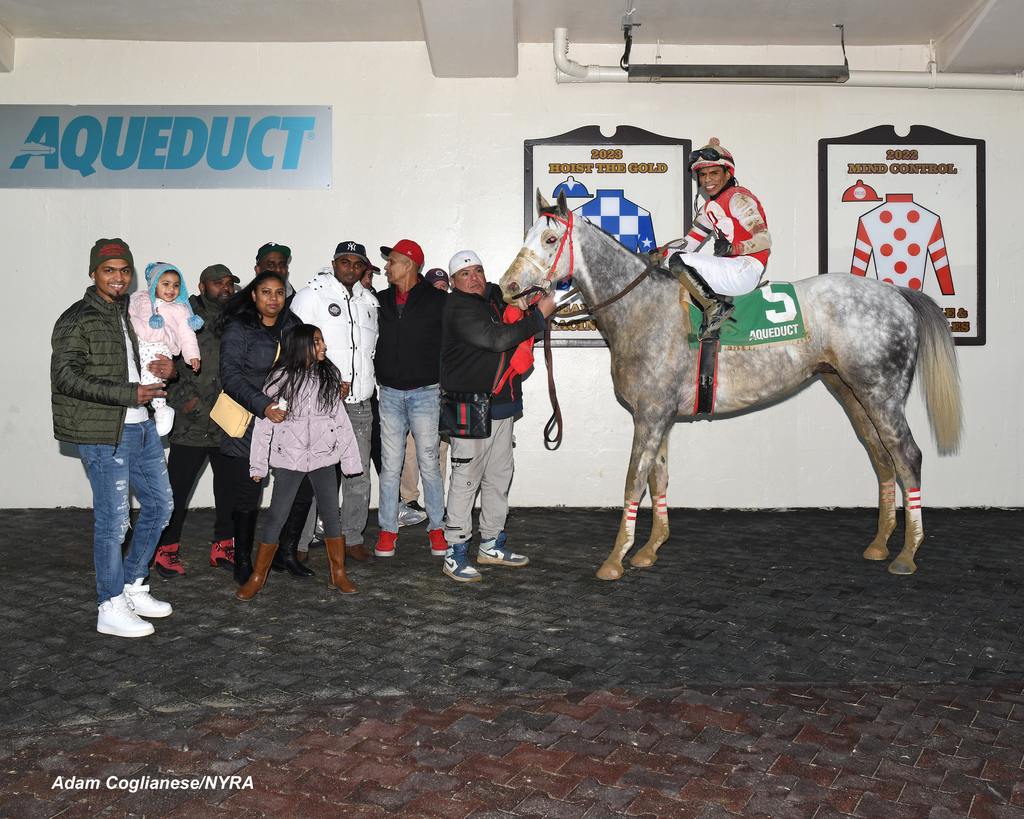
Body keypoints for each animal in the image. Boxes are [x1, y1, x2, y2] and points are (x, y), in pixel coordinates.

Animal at [499, 192, 962, 577]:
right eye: (527, 235)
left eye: (550, 238)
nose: (508, 287)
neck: (641, 307)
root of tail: (897, 293)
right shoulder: (660, 415)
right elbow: (658, 479)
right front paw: (650, 550)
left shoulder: (650, 414)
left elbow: (634, 479)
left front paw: (615, 559)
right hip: (851, 393)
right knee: (882, 458)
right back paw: (880, 544)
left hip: (882, 394)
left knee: (907, 456)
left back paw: (907, 554)